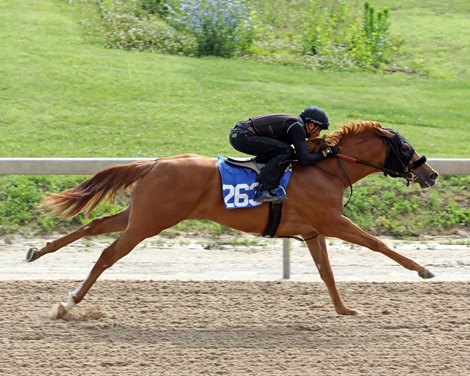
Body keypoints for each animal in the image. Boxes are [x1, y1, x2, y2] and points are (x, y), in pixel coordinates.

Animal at [25, 122, 436, 318]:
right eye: (405, 147)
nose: (430, 174)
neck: (329, 170)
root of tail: (155, 163)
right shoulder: (333, 222)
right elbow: (378, 244)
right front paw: (423, 269)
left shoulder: (314, 230)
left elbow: (327, 273)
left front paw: (344, 309)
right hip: (149, 222)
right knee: (107, 255)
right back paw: (69, 303)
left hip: (140, 214)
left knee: (94, 225)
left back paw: (38, 252)